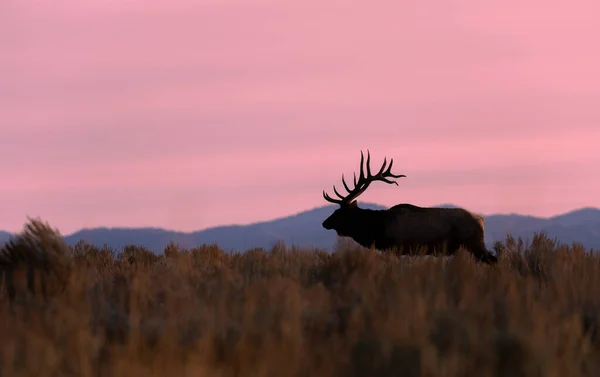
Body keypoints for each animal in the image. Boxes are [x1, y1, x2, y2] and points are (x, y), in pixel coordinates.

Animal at [324, 148, 496, 262]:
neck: (378, 229)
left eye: (340, 212)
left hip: (475, 244)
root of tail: (481, 220)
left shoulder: (395, 247)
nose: (325, 223)